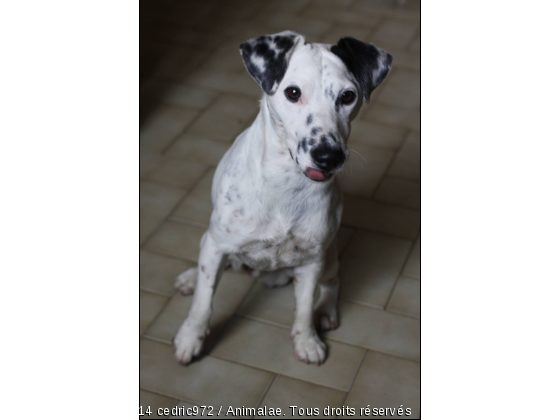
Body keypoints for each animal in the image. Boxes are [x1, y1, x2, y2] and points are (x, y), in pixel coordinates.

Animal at [173, 30, 392, 364]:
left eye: (347, 96)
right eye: (292, 92)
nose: (328, 156)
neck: (286, 185)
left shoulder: (312, 261)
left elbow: (303, 308)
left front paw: (307, 340)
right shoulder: (216, 246)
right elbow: (203, 301)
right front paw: (191, 337)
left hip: (329, 257)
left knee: (333, 283)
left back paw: (325, 311)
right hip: (210, 242)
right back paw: (189, 278)